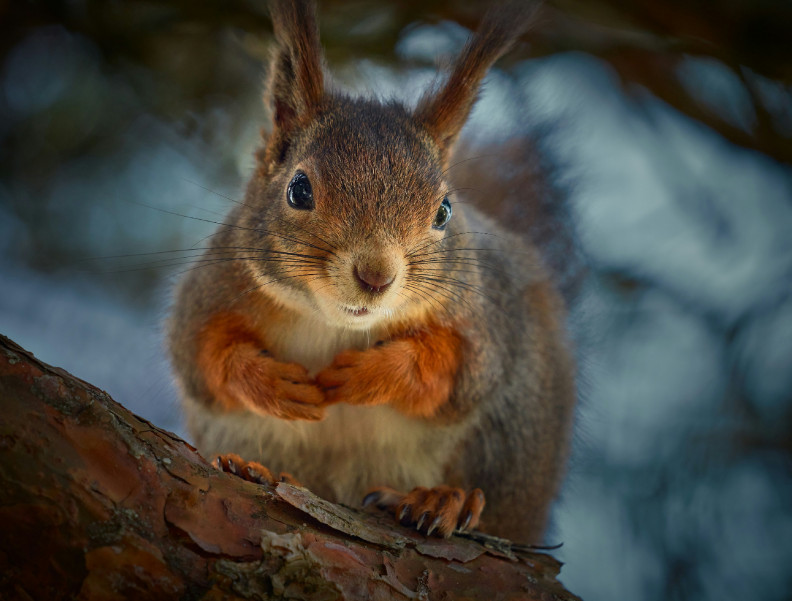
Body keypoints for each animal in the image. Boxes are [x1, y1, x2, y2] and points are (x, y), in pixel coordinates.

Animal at [167, 0, 576, 544]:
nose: (376, 277)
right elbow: (205, 360)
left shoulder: (485, 320)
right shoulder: (211, 294)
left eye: (444, 211)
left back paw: (445, 499)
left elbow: (454, 371)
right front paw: (271, 382)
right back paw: (258, 470)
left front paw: (371, 373)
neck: (332, 324)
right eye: (298, 189)